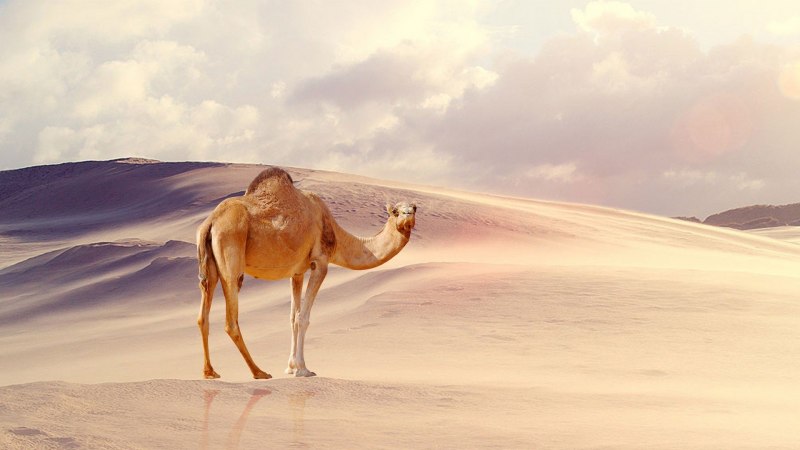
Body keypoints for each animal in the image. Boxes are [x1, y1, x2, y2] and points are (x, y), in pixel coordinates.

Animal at [196, 167, 416, 379]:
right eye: (395, 211)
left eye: (414, 208)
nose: (408, 215)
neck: (335, 235)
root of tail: (211, 222)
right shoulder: (320, 263)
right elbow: (303, 317)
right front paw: (303, 369)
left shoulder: (297, 272)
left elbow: (293, 317)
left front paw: (291, 367)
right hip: (231, 249)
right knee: (231, 319)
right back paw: (259, 372)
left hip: (209, 264)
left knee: (203, 314)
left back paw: (210, 372)